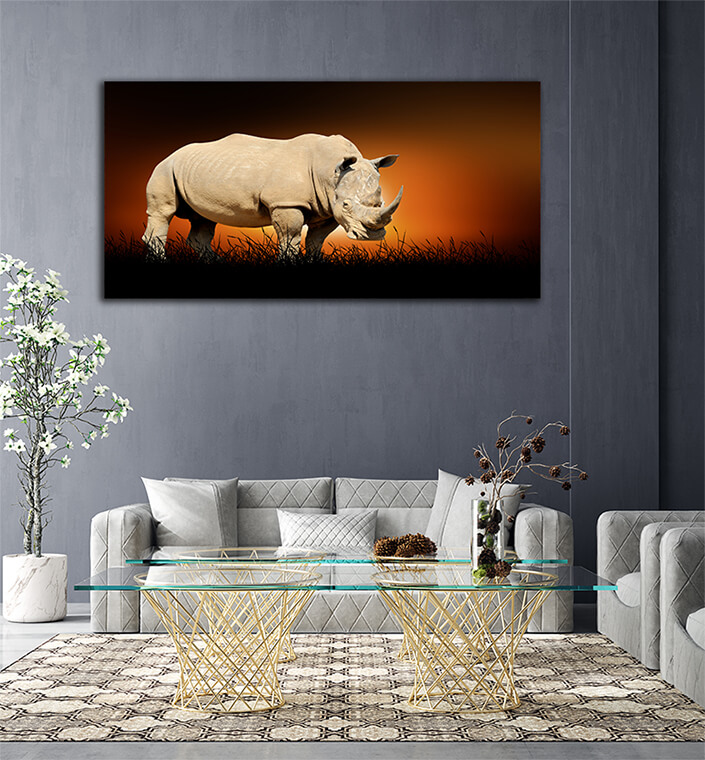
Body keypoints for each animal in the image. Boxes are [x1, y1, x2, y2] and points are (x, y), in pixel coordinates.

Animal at [142, 132, 403, 260]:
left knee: (204, 219)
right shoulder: (286, 203)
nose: (372, 236)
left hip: (194, 171)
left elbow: (316, 240)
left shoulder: (326, 207)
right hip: (165, 168)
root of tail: (170, 153)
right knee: (163, 213)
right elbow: (290, 238)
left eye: (380, 203)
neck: (330, 171)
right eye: (346, 205)